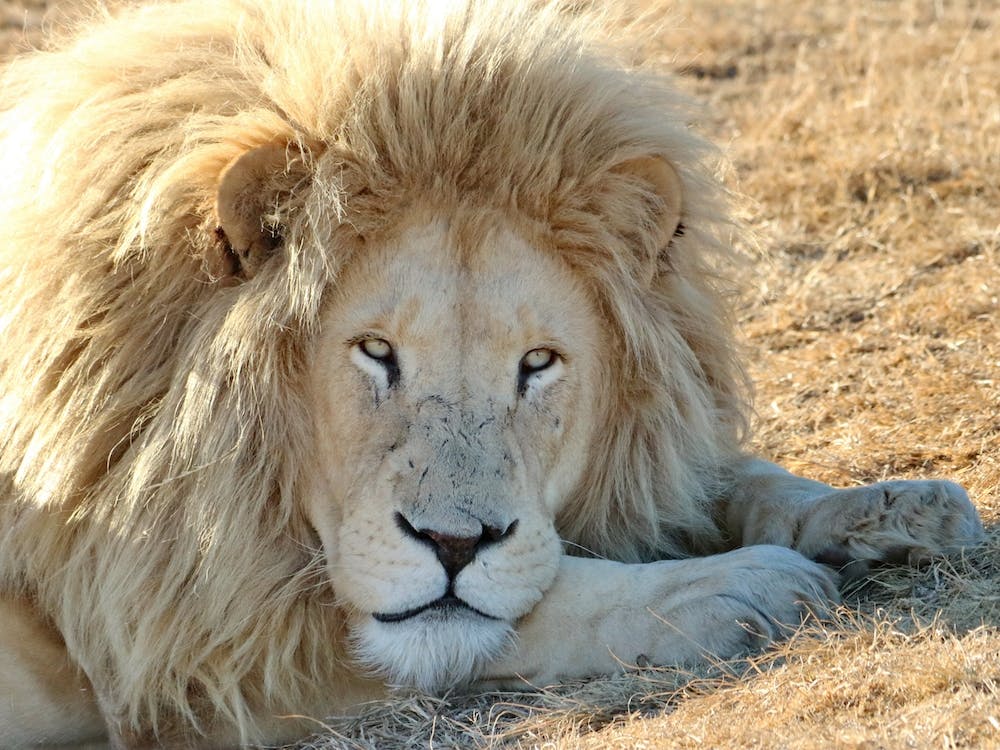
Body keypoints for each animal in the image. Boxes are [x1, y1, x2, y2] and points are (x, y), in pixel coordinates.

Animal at [0, 0, 983, 747]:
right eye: (376, 352)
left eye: (537, 365)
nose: (453, 544)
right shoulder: (194, 646)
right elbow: (515, 610)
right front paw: (740, 585)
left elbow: (730, 477)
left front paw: (897, 510)